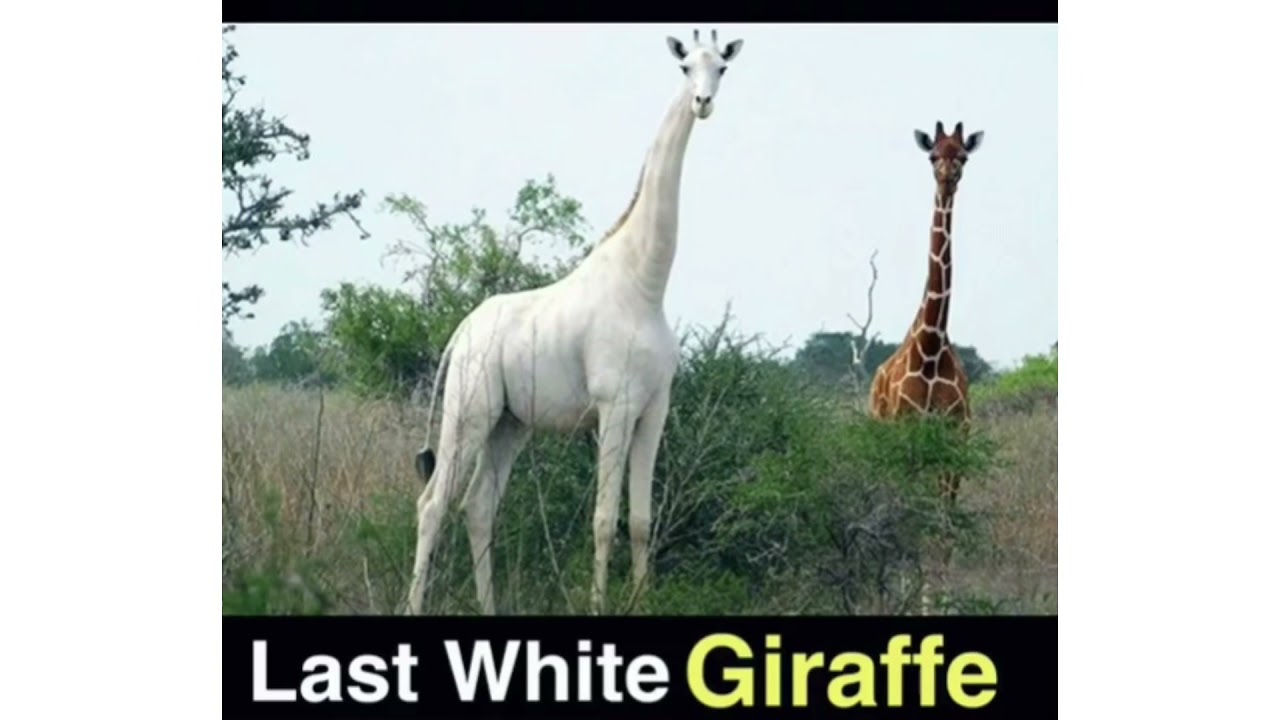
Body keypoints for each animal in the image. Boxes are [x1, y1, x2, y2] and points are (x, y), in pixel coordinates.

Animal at [404, 30, 745, 616]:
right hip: (469, 411)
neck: (645, 284)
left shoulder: (655, 409)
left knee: (477, 506)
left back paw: (491, 609)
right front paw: (599, 605)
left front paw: (641, 601)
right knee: (433, 504)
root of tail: (460, 334)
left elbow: (641, 519)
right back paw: (413, 605)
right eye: (685, 68)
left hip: (510, 423)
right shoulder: (615, 406)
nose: (703, 103)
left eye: (721, 67)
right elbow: (604, 519)